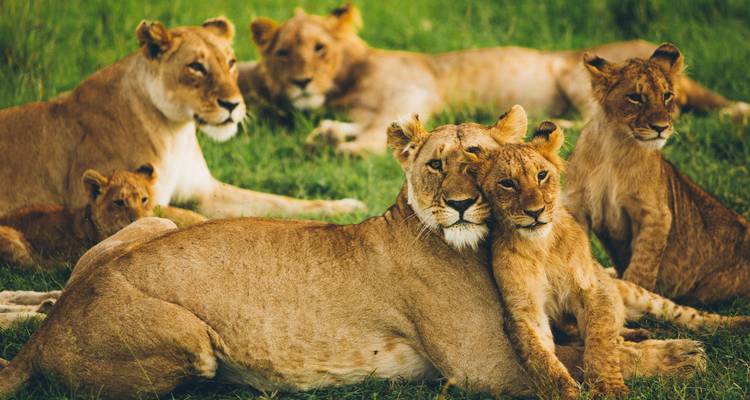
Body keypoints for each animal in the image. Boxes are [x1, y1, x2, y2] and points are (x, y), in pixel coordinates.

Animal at [0, 17, 365, 219]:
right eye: (196, 67)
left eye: (231, 62)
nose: (233, 104)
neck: (176, 132)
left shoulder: (207, 191)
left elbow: (279, 201)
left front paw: (346, 206)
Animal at [239, 3, 750, 156]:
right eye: (283, 53)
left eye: (319, 48)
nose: (302, 82)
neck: (345, 83)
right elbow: (362, 125)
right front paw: (326, 133)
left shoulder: (413, 90)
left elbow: (375, 134)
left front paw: (341, 147)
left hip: (574, 74)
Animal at [470, 119, 749, 399]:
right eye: (507, 183)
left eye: (541, 175)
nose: (535, 212)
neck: (541, 246)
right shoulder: (524, 311)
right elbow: (542, 359)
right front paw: (566, 391)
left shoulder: (592, 289)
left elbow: (600, 342)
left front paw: (609, 387)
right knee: (616, 334)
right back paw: (642, 334)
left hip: (639, 293)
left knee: (690, 316)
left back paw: (737, 324)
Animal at [564, 43, 750, 305]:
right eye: (635, 97)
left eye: (667, 96)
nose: (661, 127)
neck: (614, 146)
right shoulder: (576, 206)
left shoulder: (656, 214)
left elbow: (642, 267)